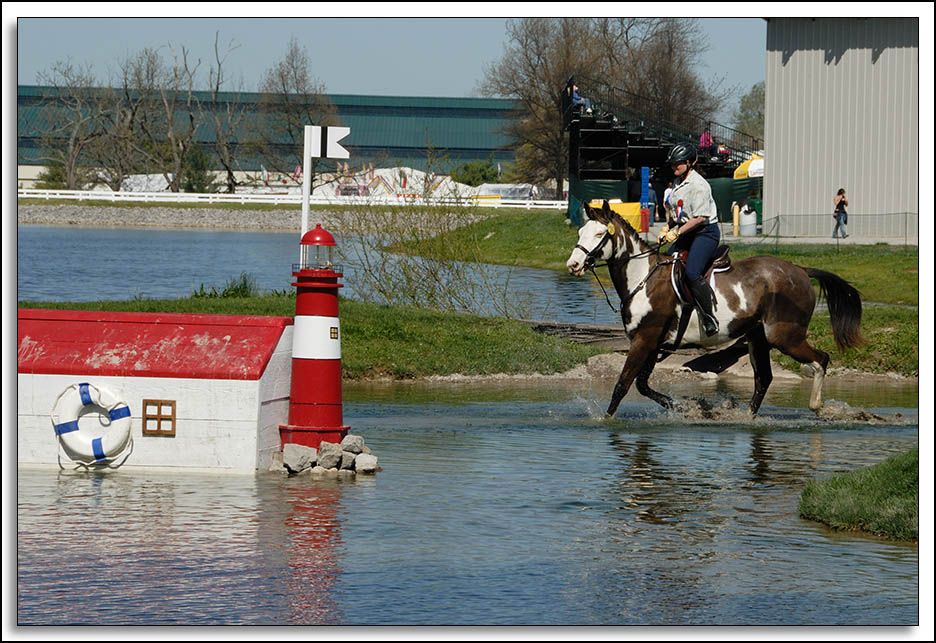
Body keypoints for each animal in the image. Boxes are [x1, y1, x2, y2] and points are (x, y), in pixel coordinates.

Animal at [564, 201, 864, 418]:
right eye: (580, 233)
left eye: (600, 234)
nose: (573, 265)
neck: (642, 278)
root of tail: (801, 270)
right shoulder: (652, 343)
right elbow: (643, 385)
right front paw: (690, 407)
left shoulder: (644, 340)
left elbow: (623, 385)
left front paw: (606, 420)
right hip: (758, 338)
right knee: (763, 379)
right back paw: (746, 417)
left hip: (784, 336)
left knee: (821, 360)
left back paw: (817, 406)